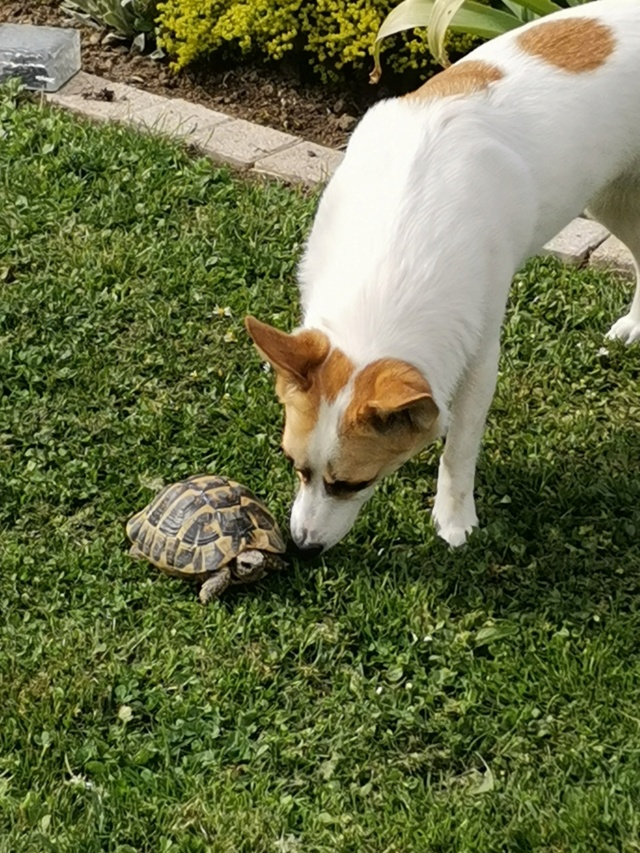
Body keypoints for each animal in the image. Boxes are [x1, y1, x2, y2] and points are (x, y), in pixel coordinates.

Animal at [245, 0, 640, 556]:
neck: (394, 238)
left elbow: (461, 445)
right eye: (294, 466)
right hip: (610, 199)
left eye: (353, 484)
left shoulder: (480, 352)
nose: (303, 546)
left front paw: (454, 517)